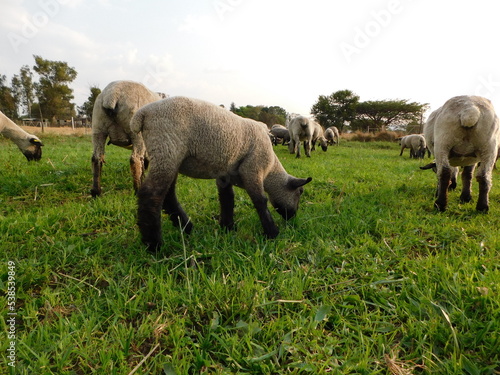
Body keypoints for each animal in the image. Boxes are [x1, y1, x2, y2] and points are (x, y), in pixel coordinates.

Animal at [132, 97, 312, 253]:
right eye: (300, 192)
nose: (292, 217)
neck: (270, 170)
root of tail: (143, 114)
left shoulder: (225, 176)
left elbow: (227, 199)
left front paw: (227, 227)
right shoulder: (252, 169)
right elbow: (260, 201)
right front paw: (272, 233)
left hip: (169, 156)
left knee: (168, 195)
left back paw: (186, 227)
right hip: (167, 149)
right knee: (151, 195)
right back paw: (154, 244)